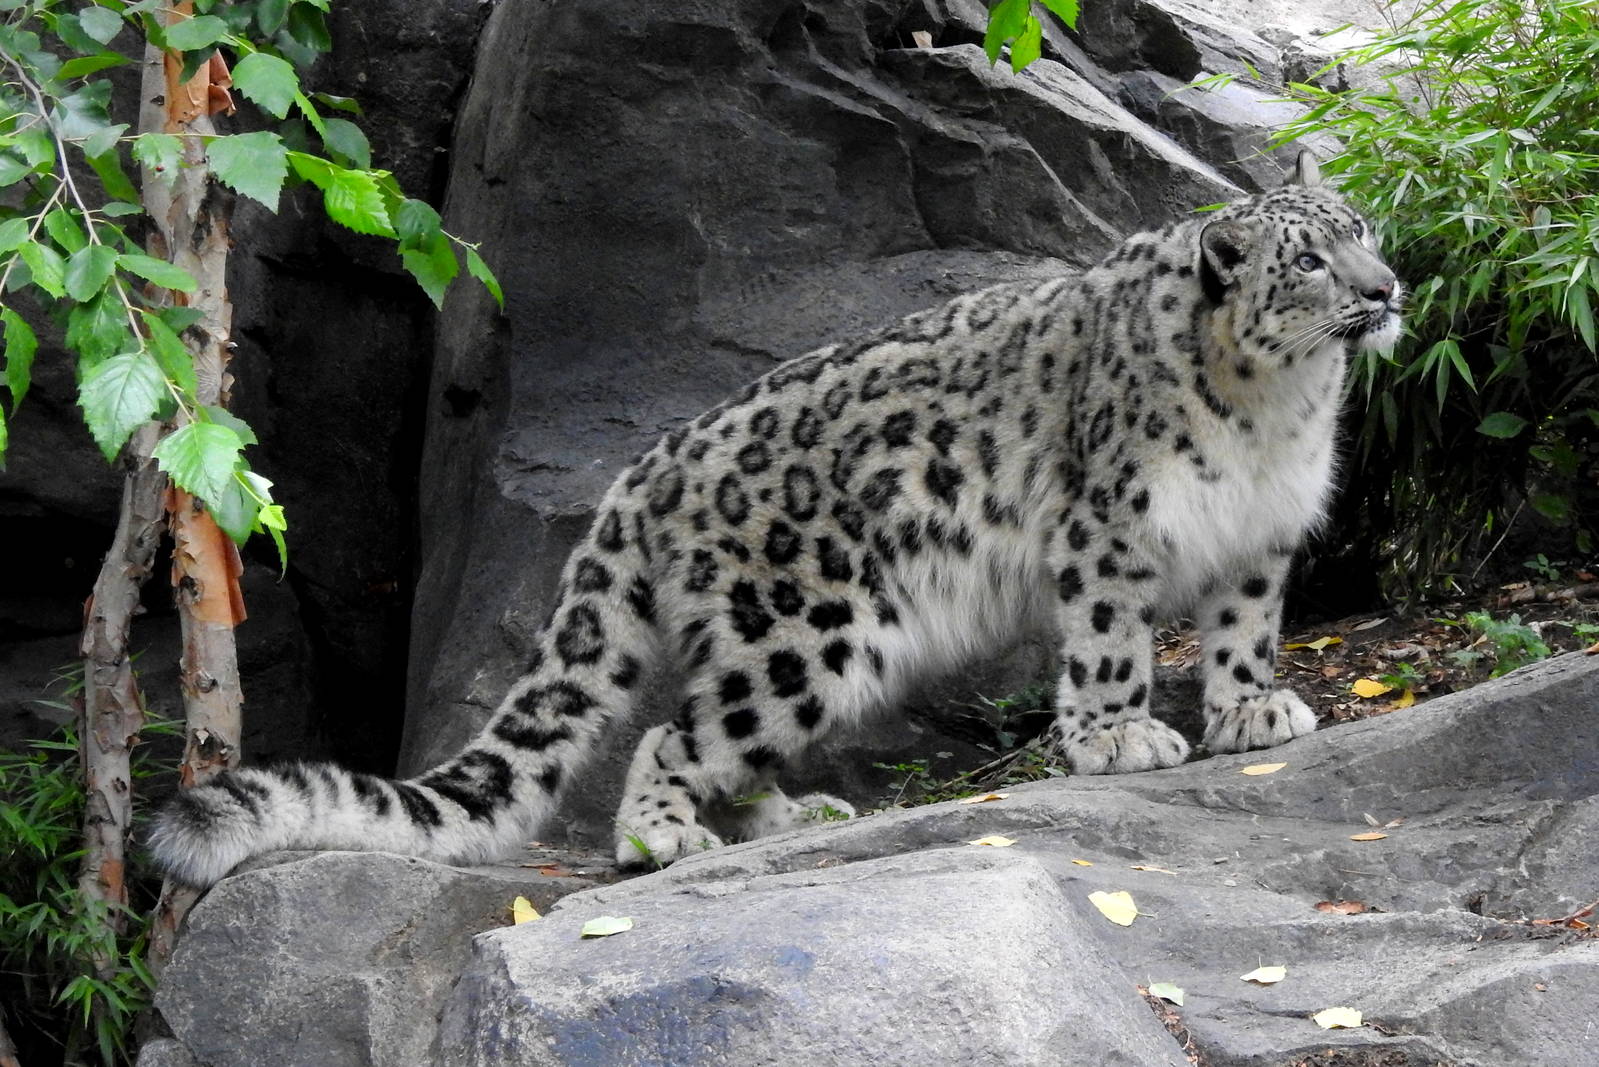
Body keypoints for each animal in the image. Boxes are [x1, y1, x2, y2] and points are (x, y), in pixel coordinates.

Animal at [151, 152, 1401, 887]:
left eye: (1363, 226)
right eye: (1308, 260)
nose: (1387, 288)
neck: (1277, 413)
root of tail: (644, 471)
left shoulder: (1260, 535)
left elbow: (1242, 630)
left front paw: (1250, 709)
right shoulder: (1109, 526)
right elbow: (1109, 643)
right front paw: (1116, 737)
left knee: (717, 736)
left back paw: (790, 815)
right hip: (808, 631)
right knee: (673, 731)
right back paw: (665, 835)